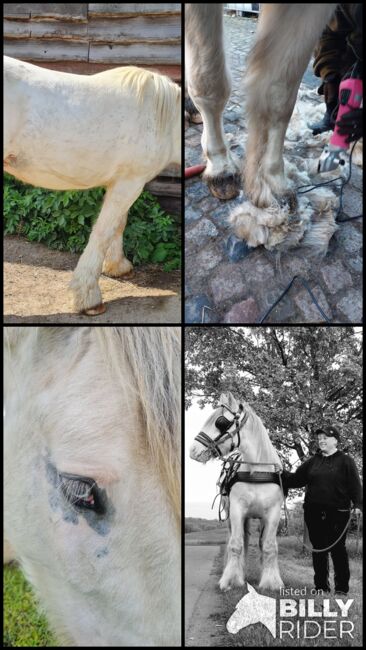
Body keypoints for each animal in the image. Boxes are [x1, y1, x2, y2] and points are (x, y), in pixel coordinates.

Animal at [4, 57, 182, 316]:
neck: (163, 122)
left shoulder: (121, 183)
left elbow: (118, 225)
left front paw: (118, 266)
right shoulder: (130, 184)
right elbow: (103, 233)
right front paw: (89, 298)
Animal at [190, 392, 284, 588]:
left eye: (220, 422)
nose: (193, 450)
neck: (257, 470)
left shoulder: (273, 513)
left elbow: (269, 546)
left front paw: (271, 582)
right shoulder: (236, 510)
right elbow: (236, 544)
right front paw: (231, 579)